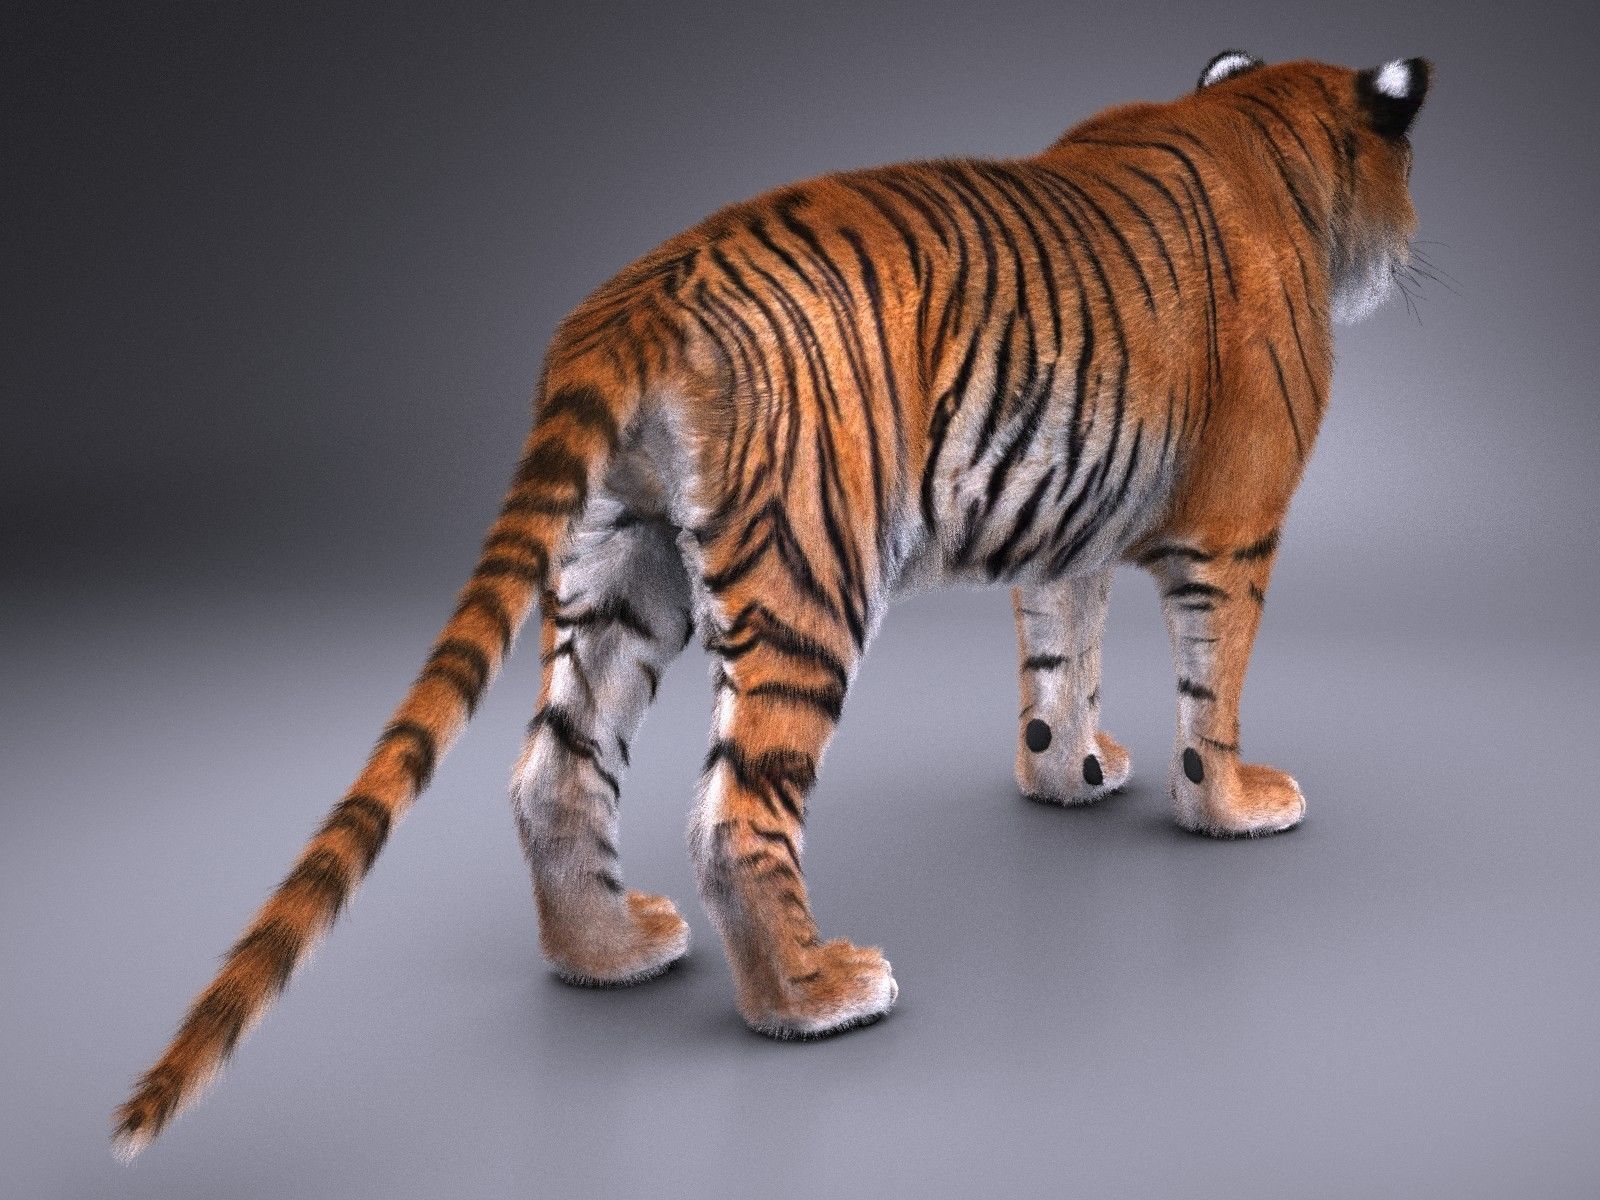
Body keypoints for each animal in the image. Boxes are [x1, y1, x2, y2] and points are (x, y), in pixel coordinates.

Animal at [114, 51, 1432, 1157]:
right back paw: (816, 995)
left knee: (556, 771)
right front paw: (1236, 806)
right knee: (737, 813)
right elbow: (1213, 688)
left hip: (620, 566)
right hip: (811, 571)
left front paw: (1073, 774)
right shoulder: (1233, 527)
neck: (1258, 120)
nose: (1420, 247)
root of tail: (640, 296)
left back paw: (609, 954)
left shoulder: (1068, 527)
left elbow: (1059, 663)